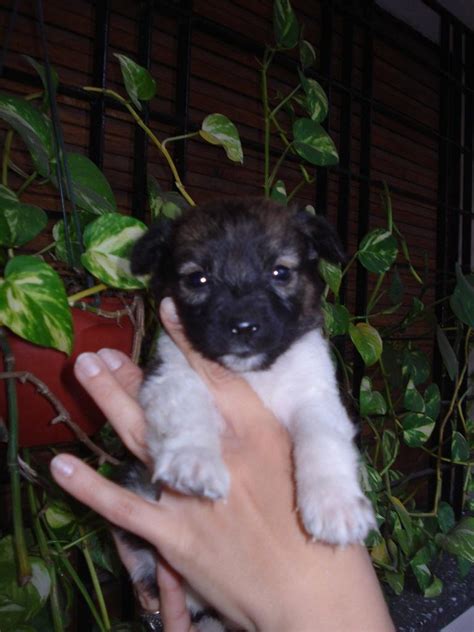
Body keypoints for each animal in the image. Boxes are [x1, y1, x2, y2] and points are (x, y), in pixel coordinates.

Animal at [120, 196, 376, 628]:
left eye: (280, 272)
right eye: (197, 279)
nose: (243, 327)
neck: (254, 374)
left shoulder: (315, 395)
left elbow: (321, 439)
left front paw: (334, 503)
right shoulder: (168, 374)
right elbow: (189, 406)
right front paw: (195, 461)